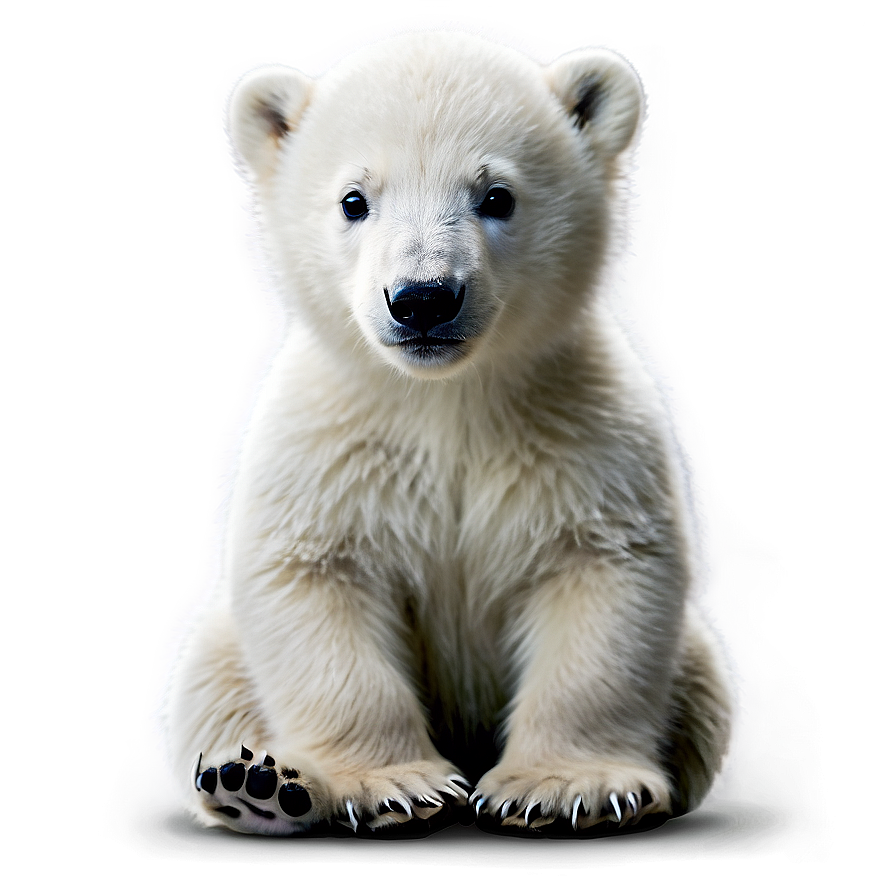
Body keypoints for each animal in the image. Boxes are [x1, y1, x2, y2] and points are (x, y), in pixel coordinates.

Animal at [154, 26, 743, 836]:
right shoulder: (327, 447)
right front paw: (390, 784)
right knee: (206, 675)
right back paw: (255, 785)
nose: (423, 299)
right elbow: (315, 575)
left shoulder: (585, 432)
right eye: (354, 200)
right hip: (220, 649)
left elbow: (602, 576)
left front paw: (571, 788)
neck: (447, 399)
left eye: (497, 196)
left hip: (697, 660)